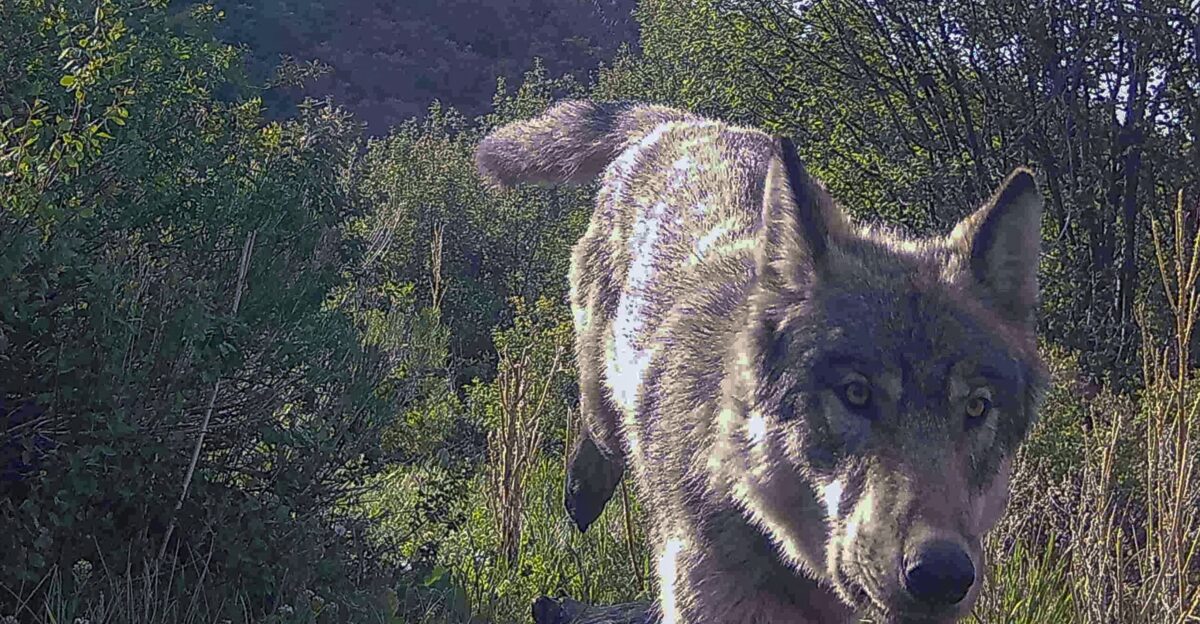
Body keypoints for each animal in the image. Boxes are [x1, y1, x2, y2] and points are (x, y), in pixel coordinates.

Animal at [476, 100, 1048, 624]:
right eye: (856, 393)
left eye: (976, 408)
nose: (941, 574)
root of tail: (682, 121)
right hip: (604, 394)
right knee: (599, 429)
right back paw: (581, 494)